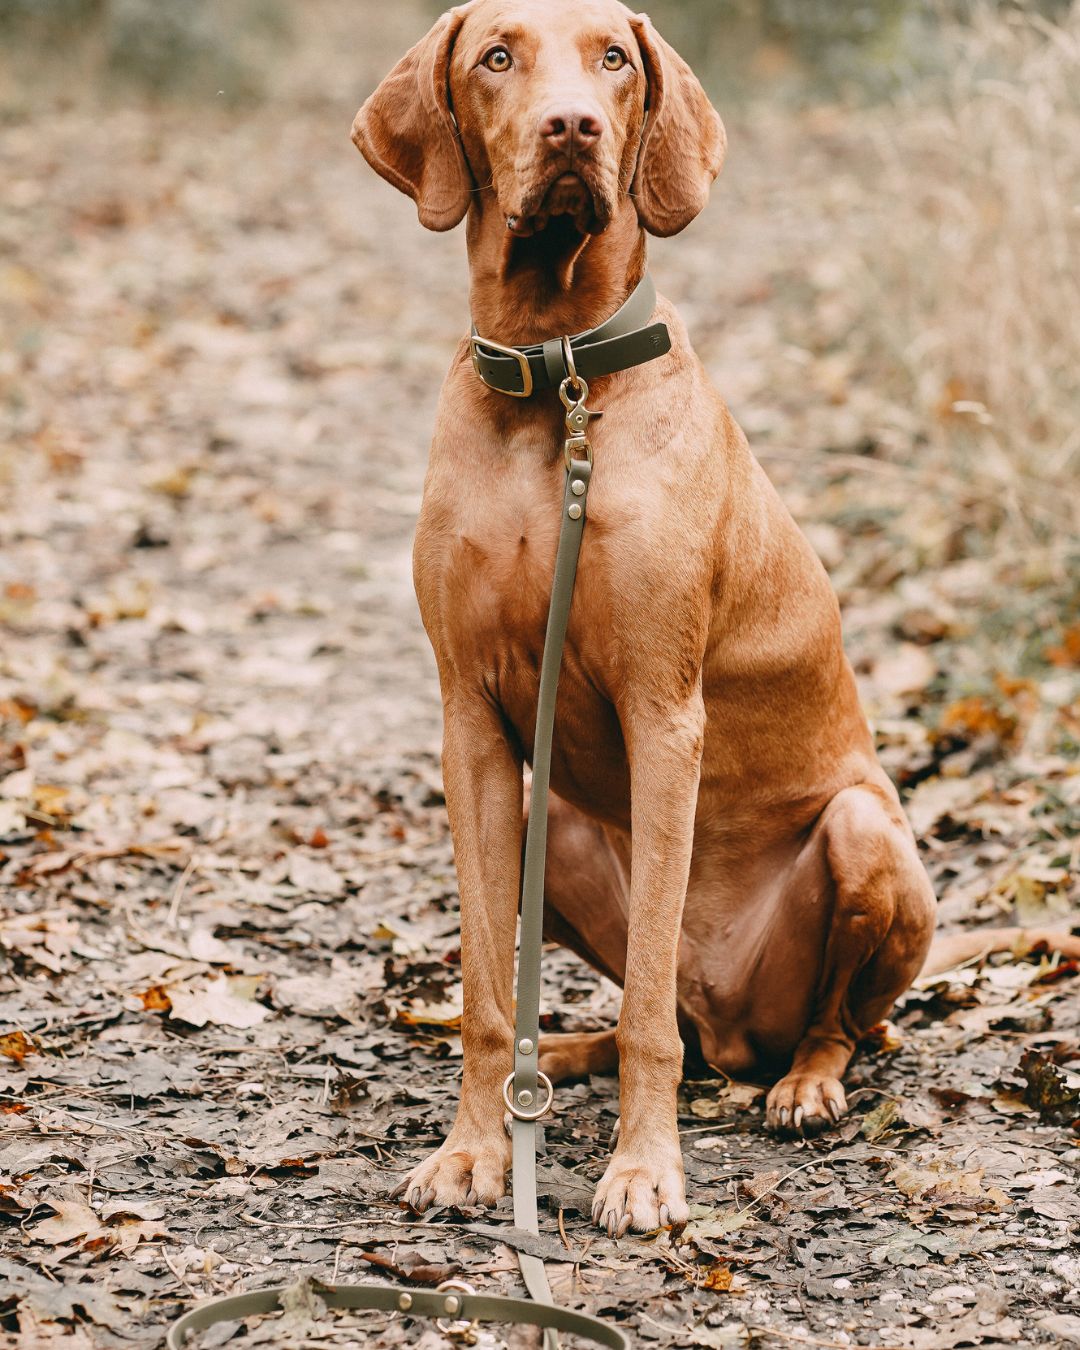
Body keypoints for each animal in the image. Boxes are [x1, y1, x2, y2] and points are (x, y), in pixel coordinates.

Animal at [351, 0, 1069, 1236]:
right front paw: (474, 1151)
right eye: (496, 55)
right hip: (555, 821)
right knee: (648, 1018)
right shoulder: (471, 727)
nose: (573, 127)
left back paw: (802, 1087)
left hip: (864, 836)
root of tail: (732, 1022)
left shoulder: (663, 711)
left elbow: (644, 1011)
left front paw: (645, 1173)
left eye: (614, 58)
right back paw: (563, 1056)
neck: (558, 378)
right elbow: (488, 988)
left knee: (823, 1026)